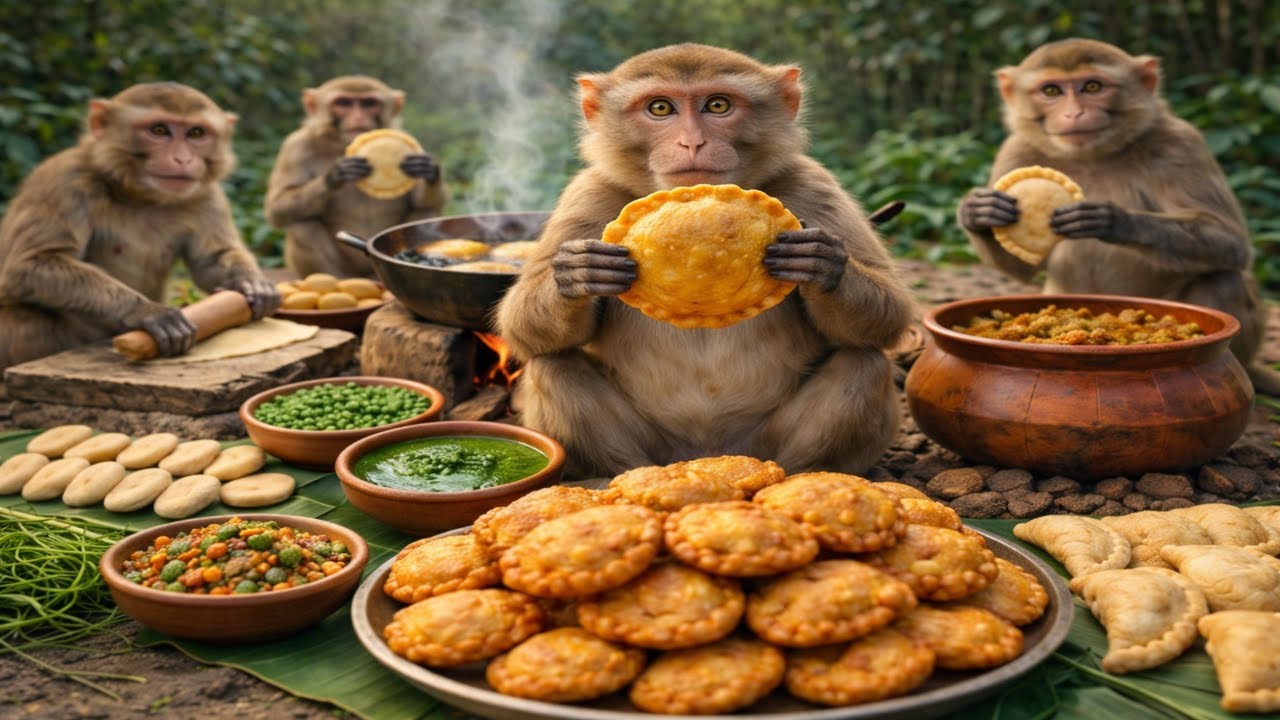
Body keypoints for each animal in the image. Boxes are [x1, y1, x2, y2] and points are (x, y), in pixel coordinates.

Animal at [0, 82, 279, 373]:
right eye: (159, 130)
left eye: (196, 133)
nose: (182, 159)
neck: (141, 197)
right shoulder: (64, 183)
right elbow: (29, 265)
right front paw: (144, 311)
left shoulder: (207, 195)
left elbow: (211, 261)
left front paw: (250, 283)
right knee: (28, 318)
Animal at [264, 75, 449, 278]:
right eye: (344, 103)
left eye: (369, 103)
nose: (358, 117)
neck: (342, 144)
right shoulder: (295, 147)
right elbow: (278, 208)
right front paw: (336, 174)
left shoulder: (410, 140)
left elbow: (424, 202)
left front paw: (428, 169)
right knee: (302, 226)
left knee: (427, 211)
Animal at [494, 44, 917, 479]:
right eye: (660, 108)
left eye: (718, 105)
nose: (692, 143)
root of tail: (704, 455)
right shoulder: (586, 195)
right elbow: (523, 329)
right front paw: (577, 273)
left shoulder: (815, 185)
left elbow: (889, 318)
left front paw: (822, 263)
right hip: (660, 446)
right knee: (552, 366)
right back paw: (621, 475)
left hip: (759, 444)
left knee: (863, 363)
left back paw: (805, 474)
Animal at [958, 38, 1280, 395]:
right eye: (1052, 90)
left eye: (1093, 86)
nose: (1074, 112)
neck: (1092, 156)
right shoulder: (1015, 152)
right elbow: (1023, 268)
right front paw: (979, 213)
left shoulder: (1179, 144)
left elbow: (1230, 240)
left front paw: (1113, 220)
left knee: (1223, 277)